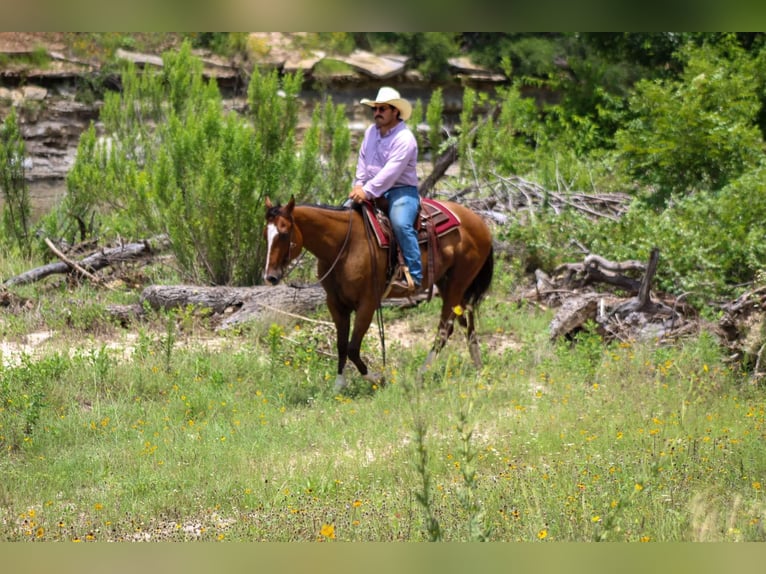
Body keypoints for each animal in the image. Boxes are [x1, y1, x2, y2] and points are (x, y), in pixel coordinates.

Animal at [263, 195, 494, 391]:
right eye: (266, 235)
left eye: (284, 232)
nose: (270, 276)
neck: (344, 245)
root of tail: (479, 222)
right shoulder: (336, 304)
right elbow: (341, 345)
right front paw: (339, 385)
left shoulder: (367, 303)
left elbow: (353, 348)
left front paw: (377, 378)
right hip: (449, 285)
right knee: (466, 324)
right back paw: (479, 367)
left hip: (457, 283)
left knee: (445, 329)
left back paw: (421, 374)